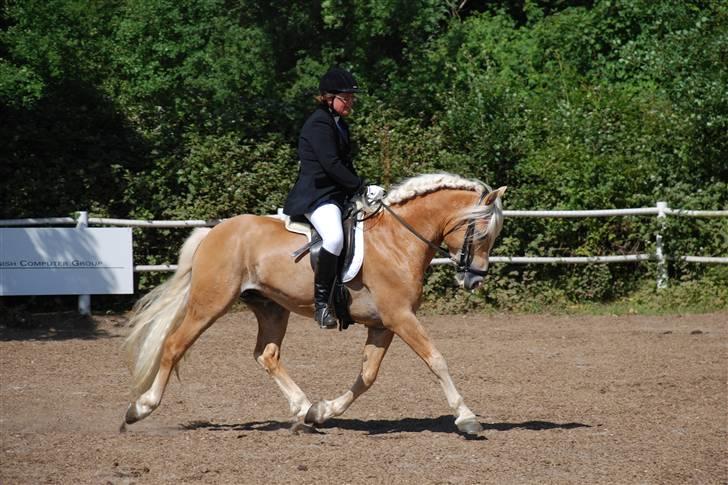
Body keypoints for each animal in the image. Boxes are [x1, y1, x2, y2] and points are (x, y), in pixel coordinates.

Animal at [121, 172, 506, 432]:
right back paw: (140, 408)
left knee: (266, 355)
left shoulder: (383, 324)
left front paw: (322, 411)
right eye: (481, 233)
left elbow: (367, 375)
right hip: (209, 303)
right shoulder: (401, 317)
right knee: (174, 345)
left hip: (272, 308)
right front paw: (466, 417)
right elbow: (436, 360)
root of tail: (214, 231)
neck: (397, 239)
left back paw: (303, 408)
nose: (474, 279)